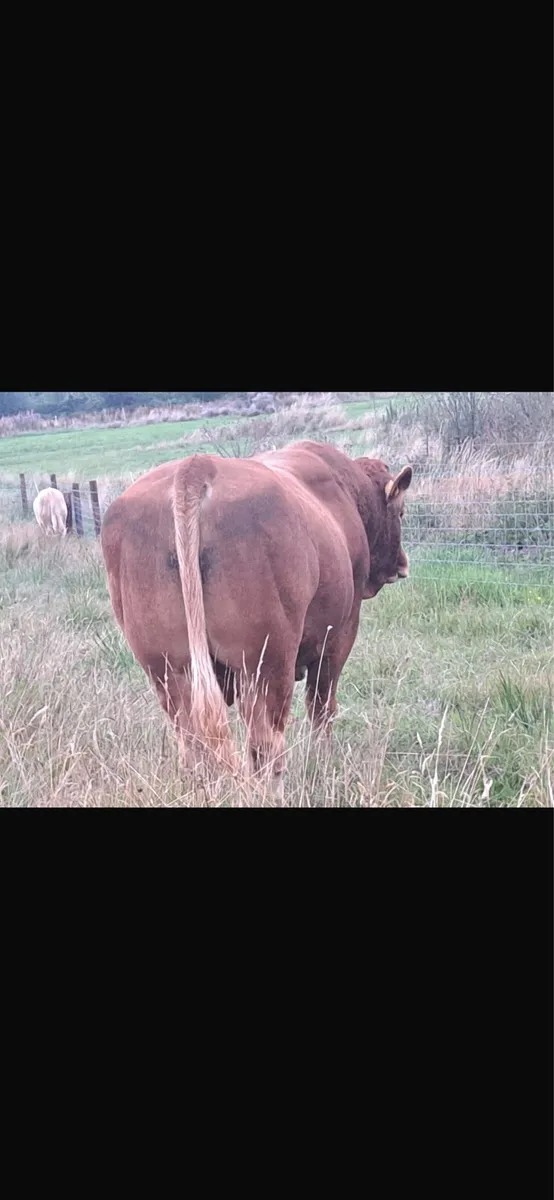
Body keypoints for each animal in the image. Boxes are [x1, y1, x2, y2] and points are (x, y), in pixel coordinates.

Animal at [101, 441, 412, 800]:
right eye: (401, 512)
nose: (402, 564)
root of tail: (195, 468)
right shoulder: (339, 636)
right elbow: (322, 706)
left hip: (167, 668)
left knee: (192, 742)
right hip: (266, 663)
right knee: (265, 744)